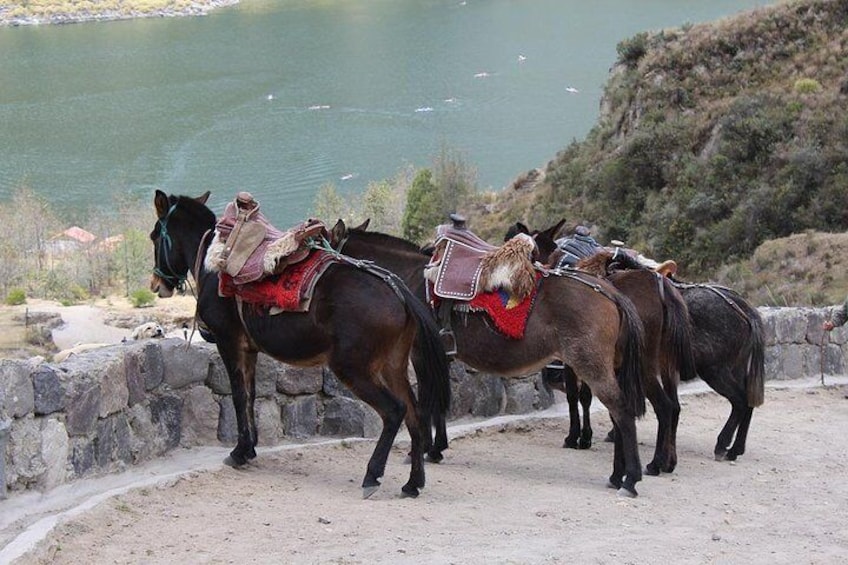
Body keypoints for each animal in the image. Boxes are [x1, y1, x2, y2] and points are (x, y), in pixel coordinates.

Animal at [147, 191, 450, 498]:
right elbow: (251, 394)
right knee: (414, 413)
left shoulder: (228, 342)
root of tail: (399, 291)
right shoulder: (249, 349)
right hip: (393, 366)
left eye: (154, 236)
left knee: (394, 410)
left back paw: (372, 475)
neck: (215, 259)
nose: (156, 284)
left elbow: (238, 395)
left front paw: (240, 452)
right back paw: (413, 483)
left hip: (354, 368)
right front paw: (251, 448)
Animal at [332, 223, 648, 496]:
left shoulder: (422, 355)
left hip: (592, 366)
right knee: (617, 414)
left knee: (621, 411)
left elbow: (426, 404)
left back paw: (629, 478)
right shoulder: (441, 356)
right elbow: (440, 403)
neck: (412, 278)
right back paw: (617, 474)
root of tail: (610, 292)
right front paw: (436, 449)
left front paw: (420, 452)